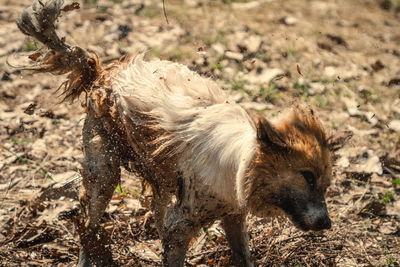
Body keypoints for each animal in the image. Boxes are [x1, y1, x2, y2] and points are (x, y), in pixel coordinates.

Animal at [15, 1, 350, 266]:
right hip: (105, 173)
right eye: (307, 177)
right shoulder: (181, 225)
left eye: (326, 184)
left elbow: (242, 255)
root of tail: (103, 71)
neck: (241, 160)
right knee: (88, 223)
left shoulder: (233, 215)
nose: (327, 224)